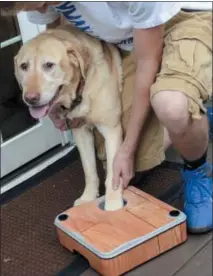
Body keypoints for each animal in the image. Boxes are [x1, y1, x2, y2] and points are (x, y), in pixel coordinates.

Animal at [14, 25, 123, 211]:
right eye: (23, 66)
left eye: (49, 65)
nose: (30, 98)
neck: (82, 90)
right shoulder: (81, 132)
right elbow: (89, 170)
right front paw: (88, 198)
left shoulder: (111, 129)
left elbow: (113, 173)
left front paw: (113, 204)